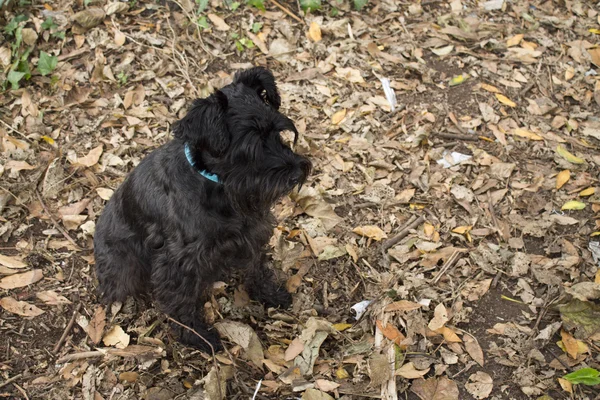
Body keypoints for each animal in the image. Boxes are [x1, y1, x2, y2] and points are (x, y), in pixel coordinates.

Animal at [94, 68, 312, 350]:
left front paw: (269, 293)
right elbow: (181, 301)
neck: (214, 183)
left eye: (278, 132)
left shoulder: (250, 233)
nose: (296, 172)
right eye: (248, 148)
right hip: (124, 266)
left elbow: (256, 266)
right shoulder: (179, 262)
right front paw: (196, 335)